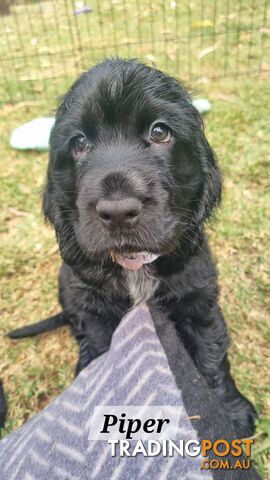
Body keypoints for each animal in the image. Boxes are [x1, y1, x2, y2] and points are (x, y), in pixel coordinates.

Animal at [8, 58, 256, 436]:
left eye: (159, 132)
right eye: (79, 143)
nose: (117, 212)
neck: (136, 264)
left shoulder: (199, 300)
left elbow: (212, 353)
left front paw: (231, 412)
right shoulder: (92, 308)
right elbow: (98, 351)